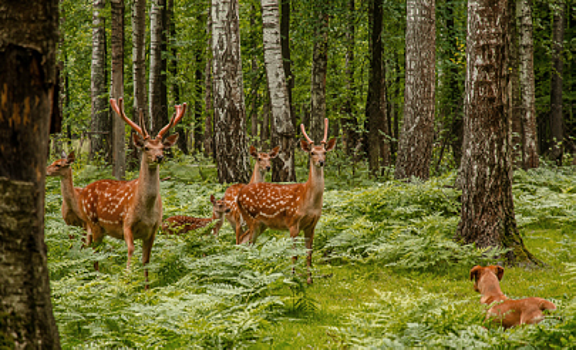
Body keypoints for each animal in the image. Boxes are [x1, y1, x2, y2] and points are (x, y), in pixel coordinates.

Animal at [78, 97, 187, 288]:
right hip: (93, 222)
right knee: (93, 250)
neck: (146, 210)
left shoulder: (153, 229)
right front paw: (128, 279)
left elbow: (146, 259)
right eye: (146, 147)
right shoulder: (126, 224)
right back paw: (95, 279)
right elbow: (130, 250)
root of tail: (84, 190)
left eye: (162, 147)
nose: (159, 157)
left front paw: (146, 287)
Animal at [235, 119, 336, 284]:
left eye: (325, 152)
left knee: (245, 241)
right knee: (245, 242)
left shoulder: (312, 225)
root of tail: (239, 194)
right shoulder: (293, 222)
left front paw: (310, 280)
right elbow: (294, 254)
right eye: (312, 153)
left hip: (262, 224)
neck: (308, 200)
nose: (321, 162)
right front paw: (293, 279)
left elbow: (309, 253)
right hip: (250, 217)